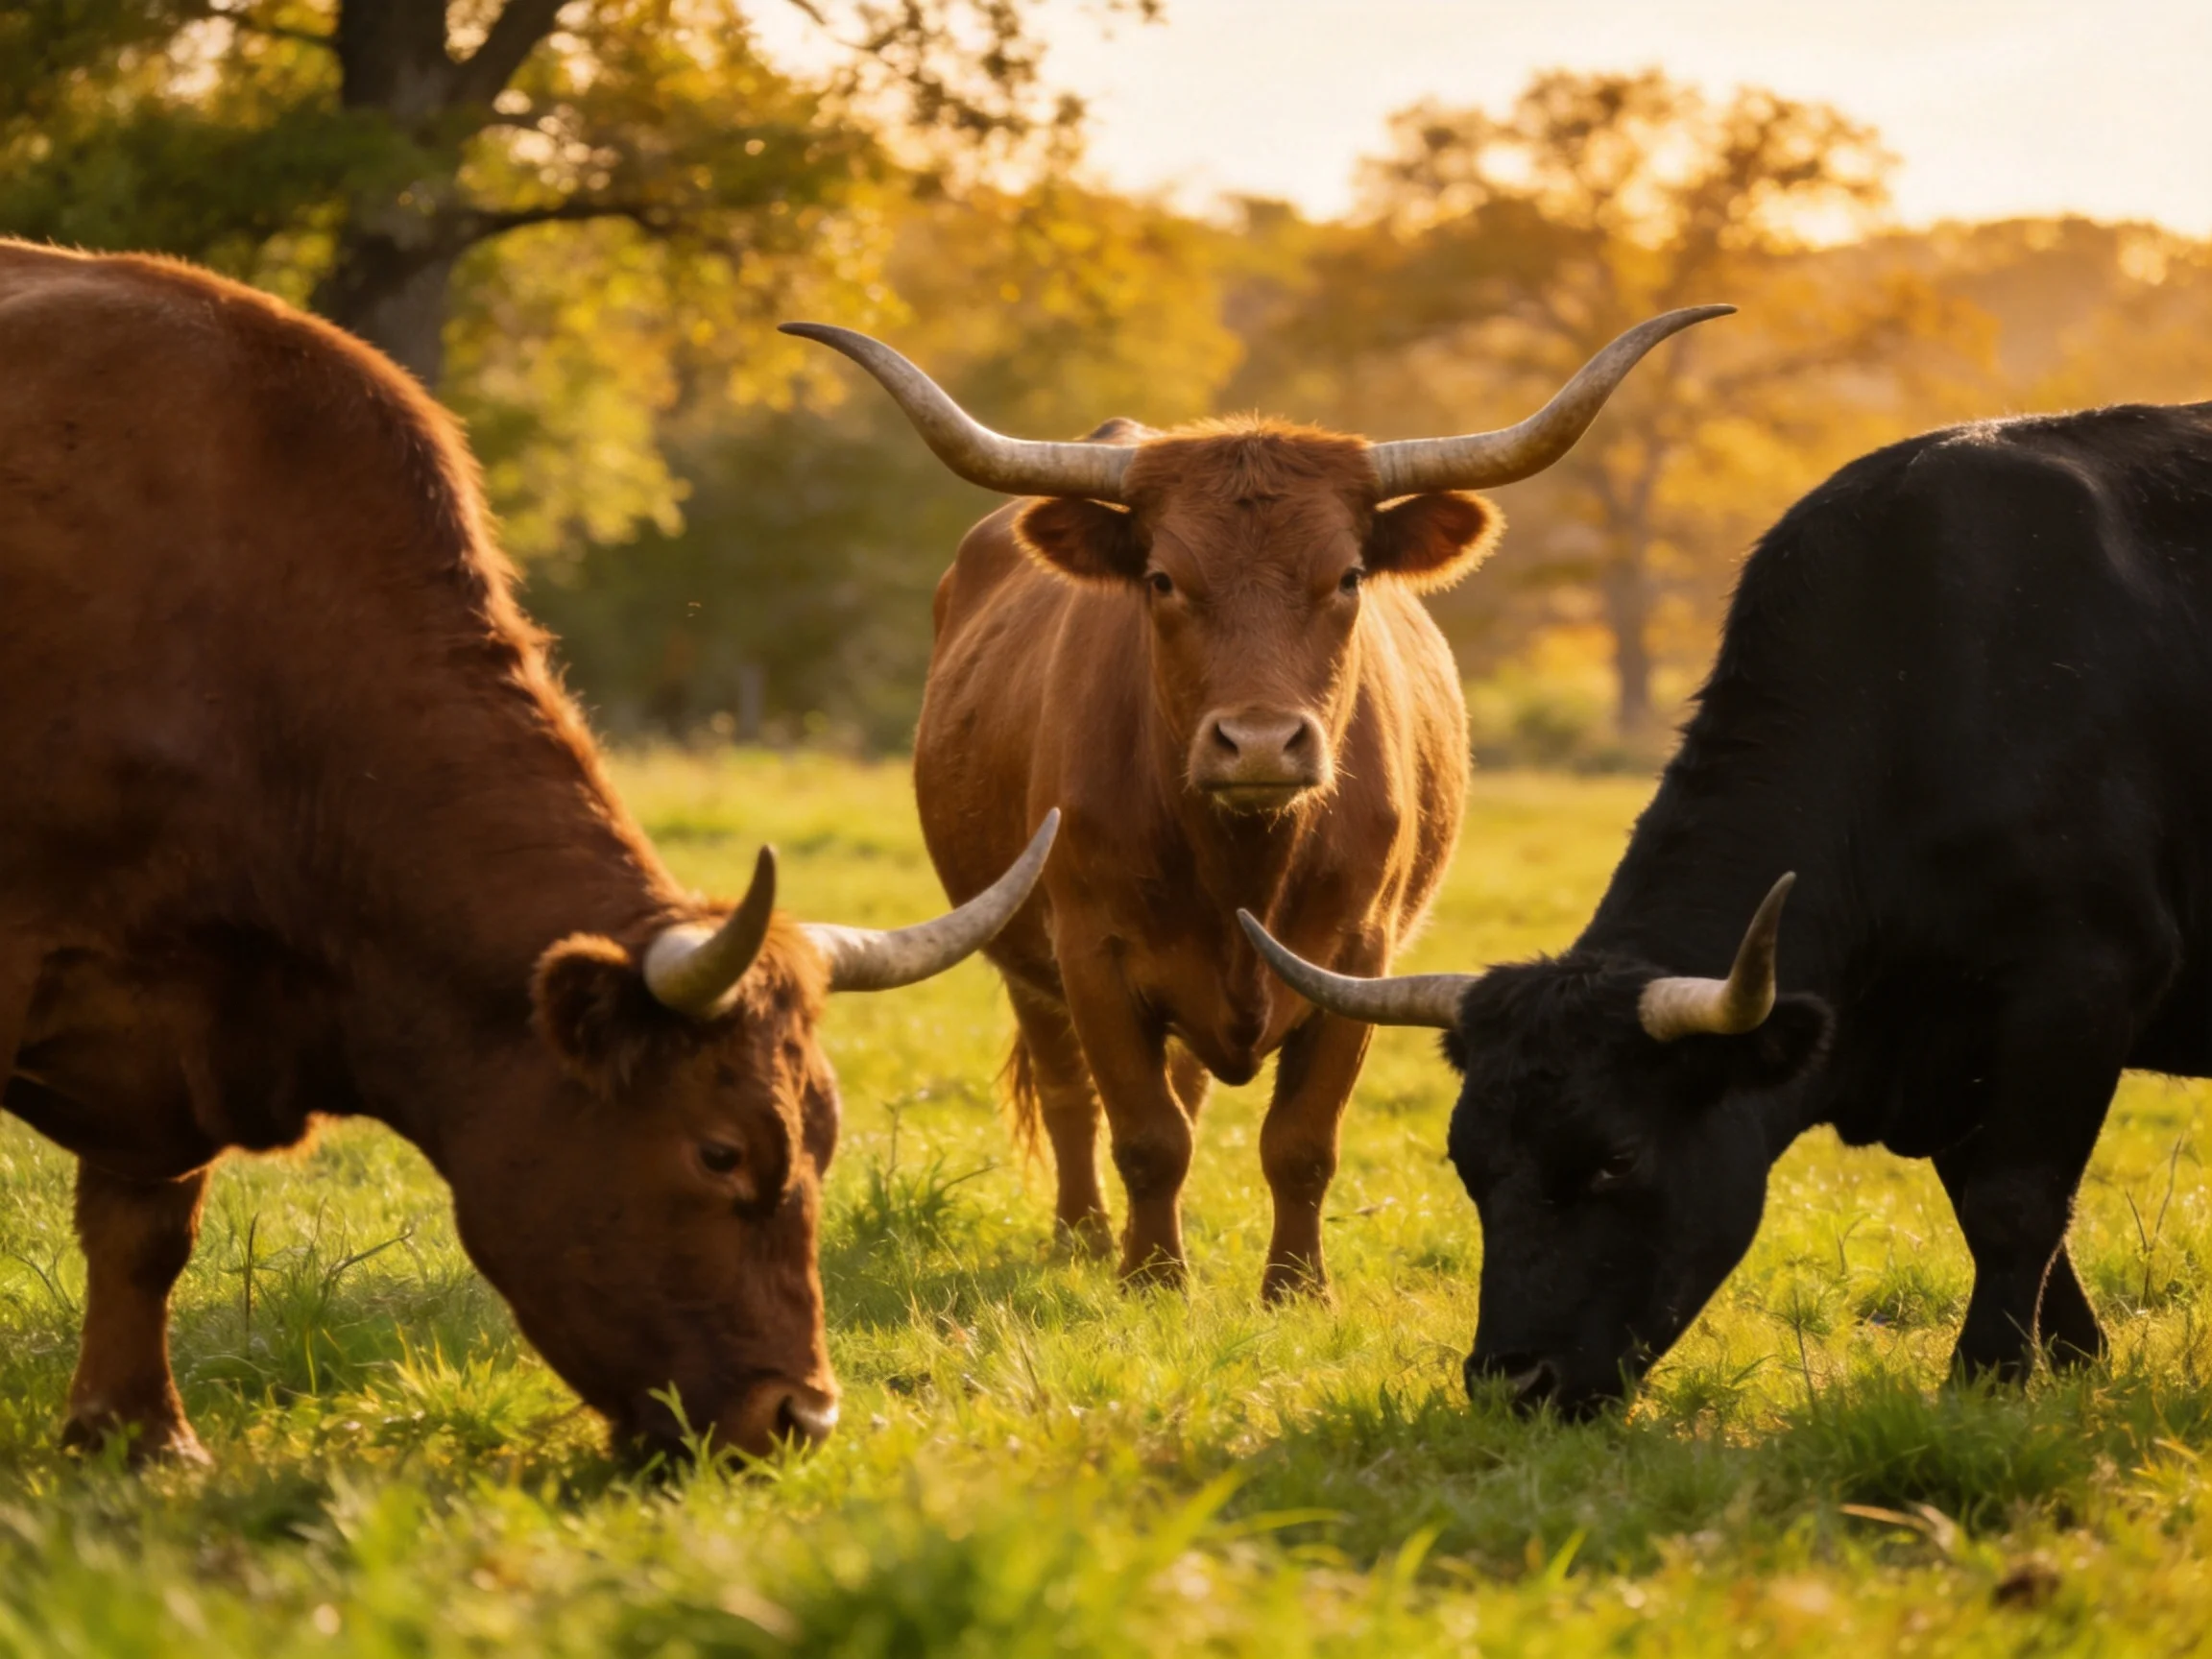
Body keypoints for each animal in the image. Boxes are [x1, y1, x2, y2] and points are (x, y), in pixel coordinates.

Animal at [782, 307, 1729, 1299]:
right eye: (1163, 579)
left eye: (1348, 576)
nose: (1264, 742)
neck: (1244, 854)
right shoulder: (1090, 952)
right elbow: (1145, 1133)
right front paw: (1152, 1278)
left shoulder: (1358, 957)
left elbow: (1300, 1141)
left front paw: (1295, 1288)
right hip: (1020, 954)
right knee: (1071, 1095)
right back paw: (1082, 1238)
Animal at [1242, 401, 2212, 1406]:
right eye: (1468, 1162)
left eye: (1619, 1157)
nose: (1513, 1381)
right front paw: (2070, 1358)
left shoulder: (2076, 988)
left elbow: (2013, 1203)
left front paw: (1985, 1375)